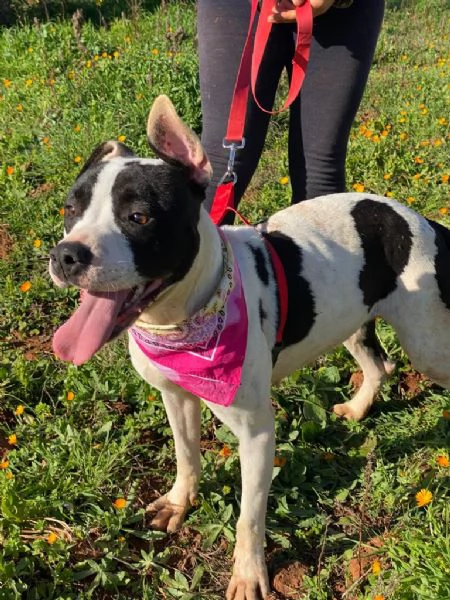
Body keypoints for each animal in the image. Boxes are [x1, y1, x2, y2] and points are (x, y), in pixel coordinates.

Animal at [49, 96, 450, 596]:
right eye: (69, 209)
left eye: (138, 217)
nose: (66, 254)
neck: (182, 318)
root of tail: (422, 220)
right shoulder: (176, 396)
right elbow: (186, 455)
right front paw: (179, 503)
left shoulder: (257, 434)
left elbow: (249, 516)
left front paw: (248, 574)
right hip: (351, 318)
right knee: (379, 365)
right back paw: (359, 409)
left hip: (427, 344)